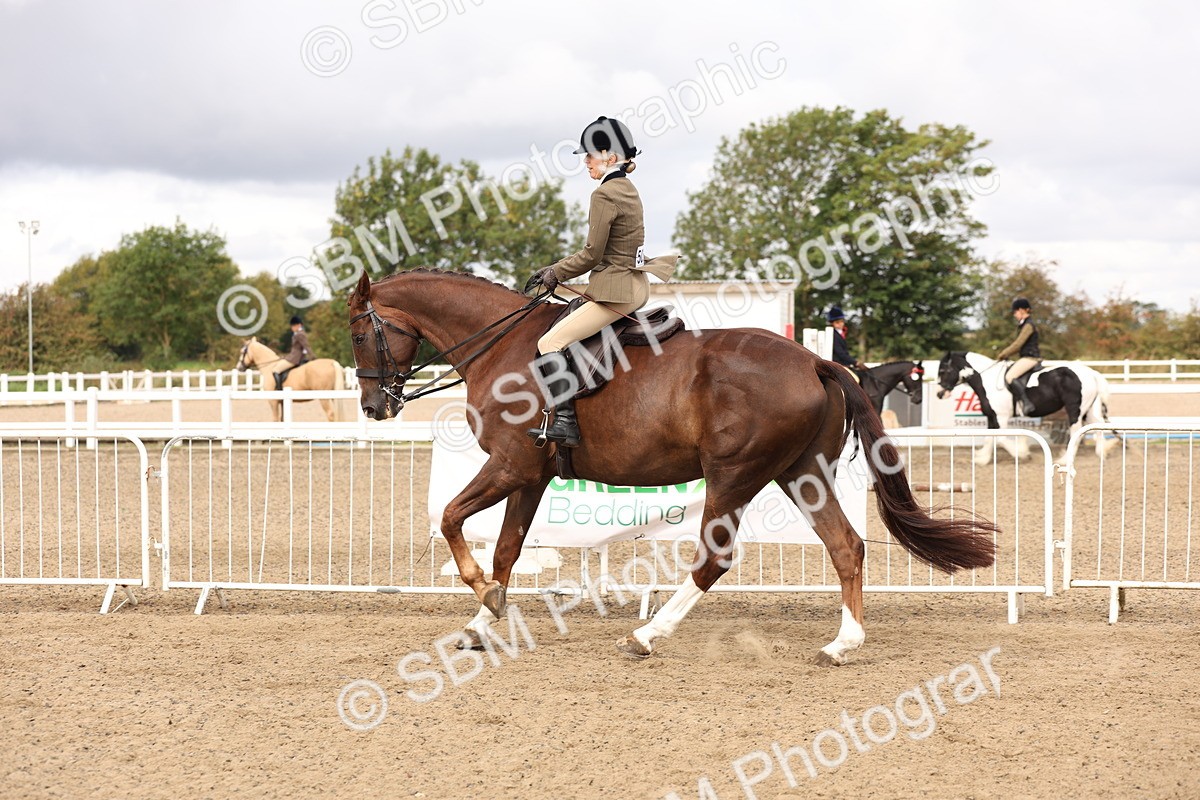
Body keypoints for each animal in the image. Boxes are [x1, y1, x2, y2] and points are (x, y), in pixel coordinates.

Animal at [348, 269, 996, 665]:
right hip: (801, 474)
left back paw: (647, 633)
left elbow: (452, 520)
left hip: (733, 476)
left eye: (357, 334)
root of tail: (813, 361)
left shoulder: (511, 465)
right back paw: (843, 643)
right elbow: (505, 550)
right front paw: (485, 620)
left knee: (714, 559)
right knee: (846, 546)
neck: (503, 347)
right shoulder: (530, 476)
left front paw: (485, 597)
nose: (375, 407)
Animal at [935, 351, 1118, 464]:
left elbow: (1000, 439)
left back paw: (1065, 460)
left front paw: (1022, 453)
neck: (986, 380)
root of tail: (1091, 373)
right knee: (1096, 427)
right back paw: (1103, 452)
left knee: (1076, 431)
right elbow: (989, 438)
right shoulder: (992, 416)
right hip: (1089, 409)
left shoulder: (1001, 417)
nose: (939, 394)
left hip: (1075, 409)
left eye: (943, 371)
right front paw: (983, 459)